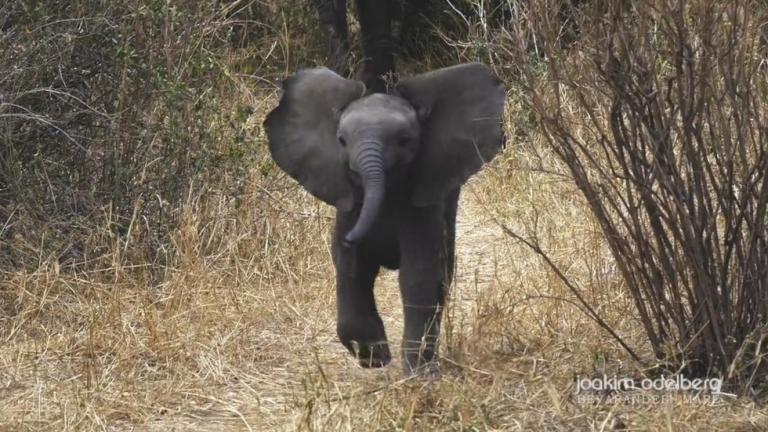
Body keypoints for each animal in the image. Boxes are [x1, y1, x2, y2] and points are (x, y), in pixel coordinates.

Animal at [264, 61, 504, 374]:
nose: (352, 238)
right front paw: (375, 359)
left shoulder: (421, 205)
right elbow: (352, 269)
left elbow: (419, 276)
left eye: (404, 141)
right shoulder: (350, 207)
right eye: (341, 141)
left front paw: (418, 373)